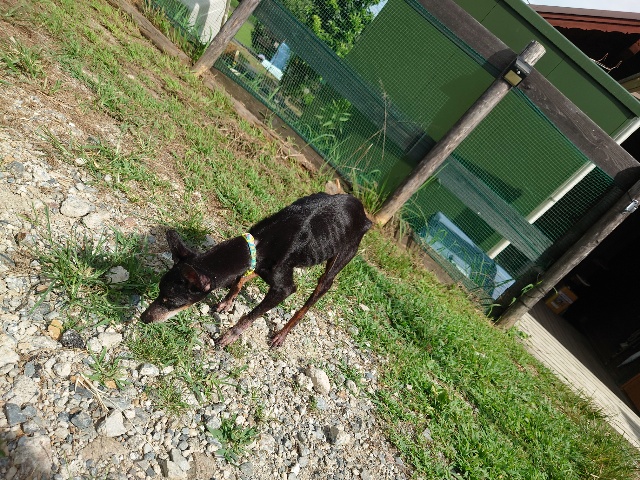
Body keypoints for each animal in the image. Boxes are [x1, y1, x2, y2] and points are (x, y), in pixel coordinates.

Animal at [140, 193, 372, 348]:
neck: (260, 242)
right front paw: (227, 302)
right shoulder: (255, 262)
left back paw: (282, 334)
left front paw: (231, 335)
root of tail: (364, 214)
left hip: (339, 262)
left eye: (171, 302)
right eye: (159, 292)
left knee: (309, 301)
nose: (144, 318)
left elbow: (251, 315)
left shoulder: (284, 288)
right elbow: (239, 279)